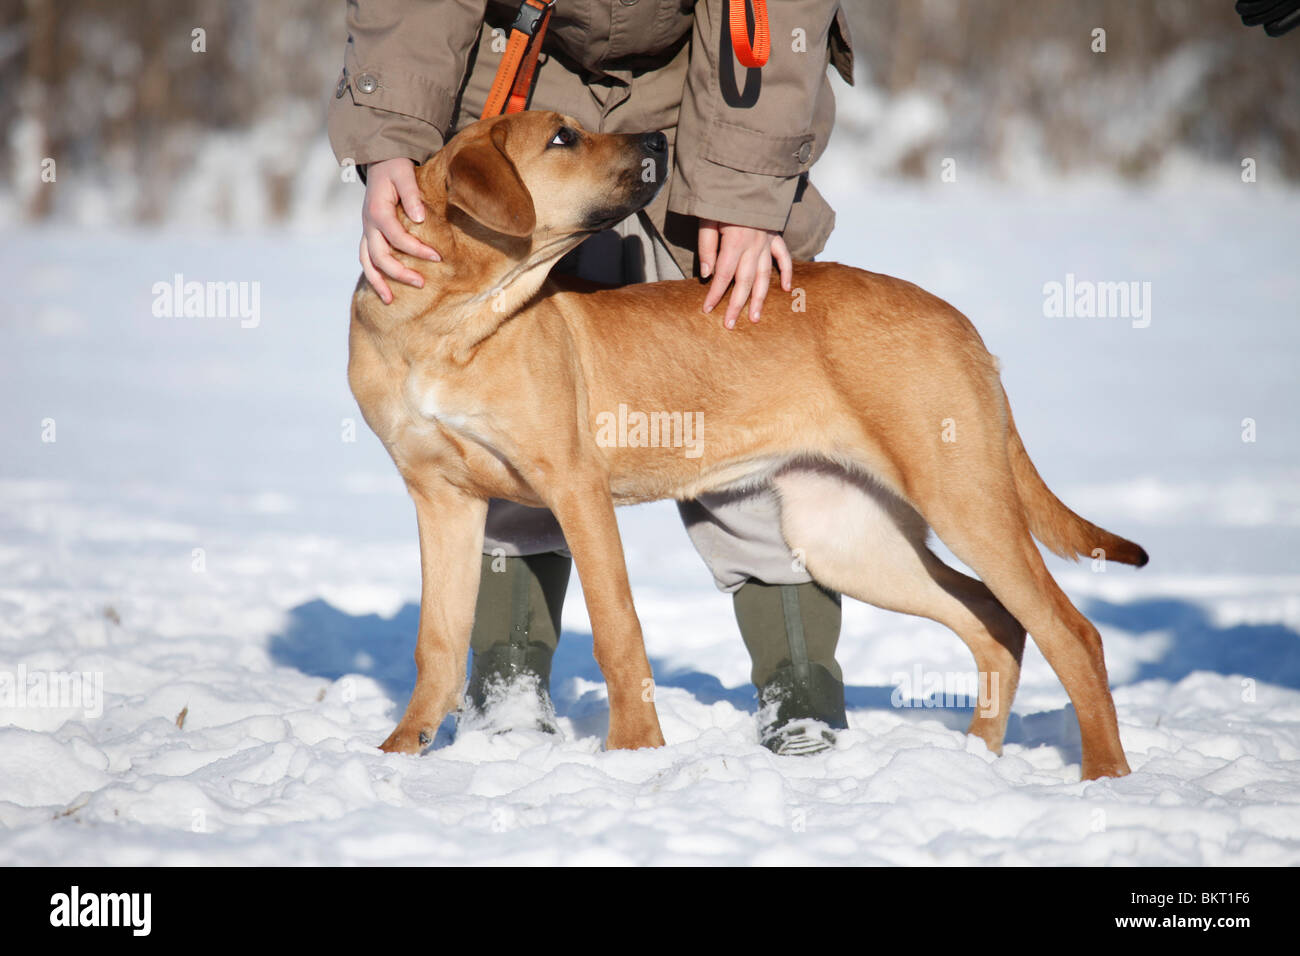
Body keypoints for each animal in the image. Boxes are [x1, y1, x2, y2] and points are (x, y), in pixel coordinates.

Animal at [348, 113, 1149, 785]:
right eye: (562, 138)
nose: (657, 141)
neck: (450, 325)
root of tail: (960, 323)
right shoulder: (443, 499)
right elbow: (437, 638)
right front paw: (401, 751)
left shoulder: (576, 488)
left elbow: (617, 630)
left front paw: (635, 755)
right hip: (847, 536)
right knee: (994, 621)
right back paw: (975, 759)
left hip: (961, 495)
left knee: (1072, 632)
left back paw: (1105, 778)